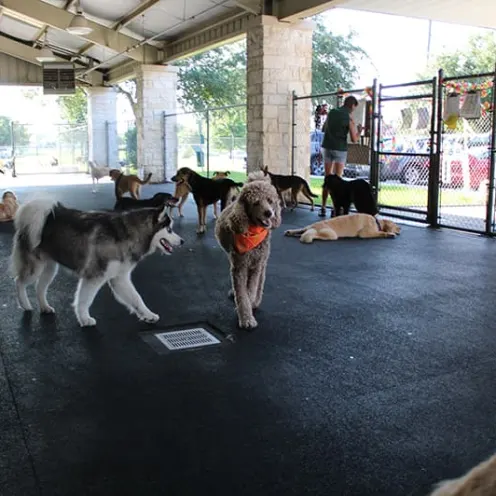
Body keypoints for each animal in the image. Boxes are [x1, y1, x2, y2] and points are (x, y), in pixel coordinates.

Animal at [10, 196, 184, 328]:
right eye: (169, 230)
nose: (182, 241)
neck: (130, 234)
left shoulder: (119, 278)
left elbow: (136, 298)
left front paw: (148, 314)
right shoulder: (94, 276)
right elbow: (84, 300)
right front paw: (84, 319)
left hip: (50, 268)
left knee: (39, 287)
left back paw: (45, 307)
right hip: (35, 268)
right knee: (19, 281)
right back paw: (25, 304)